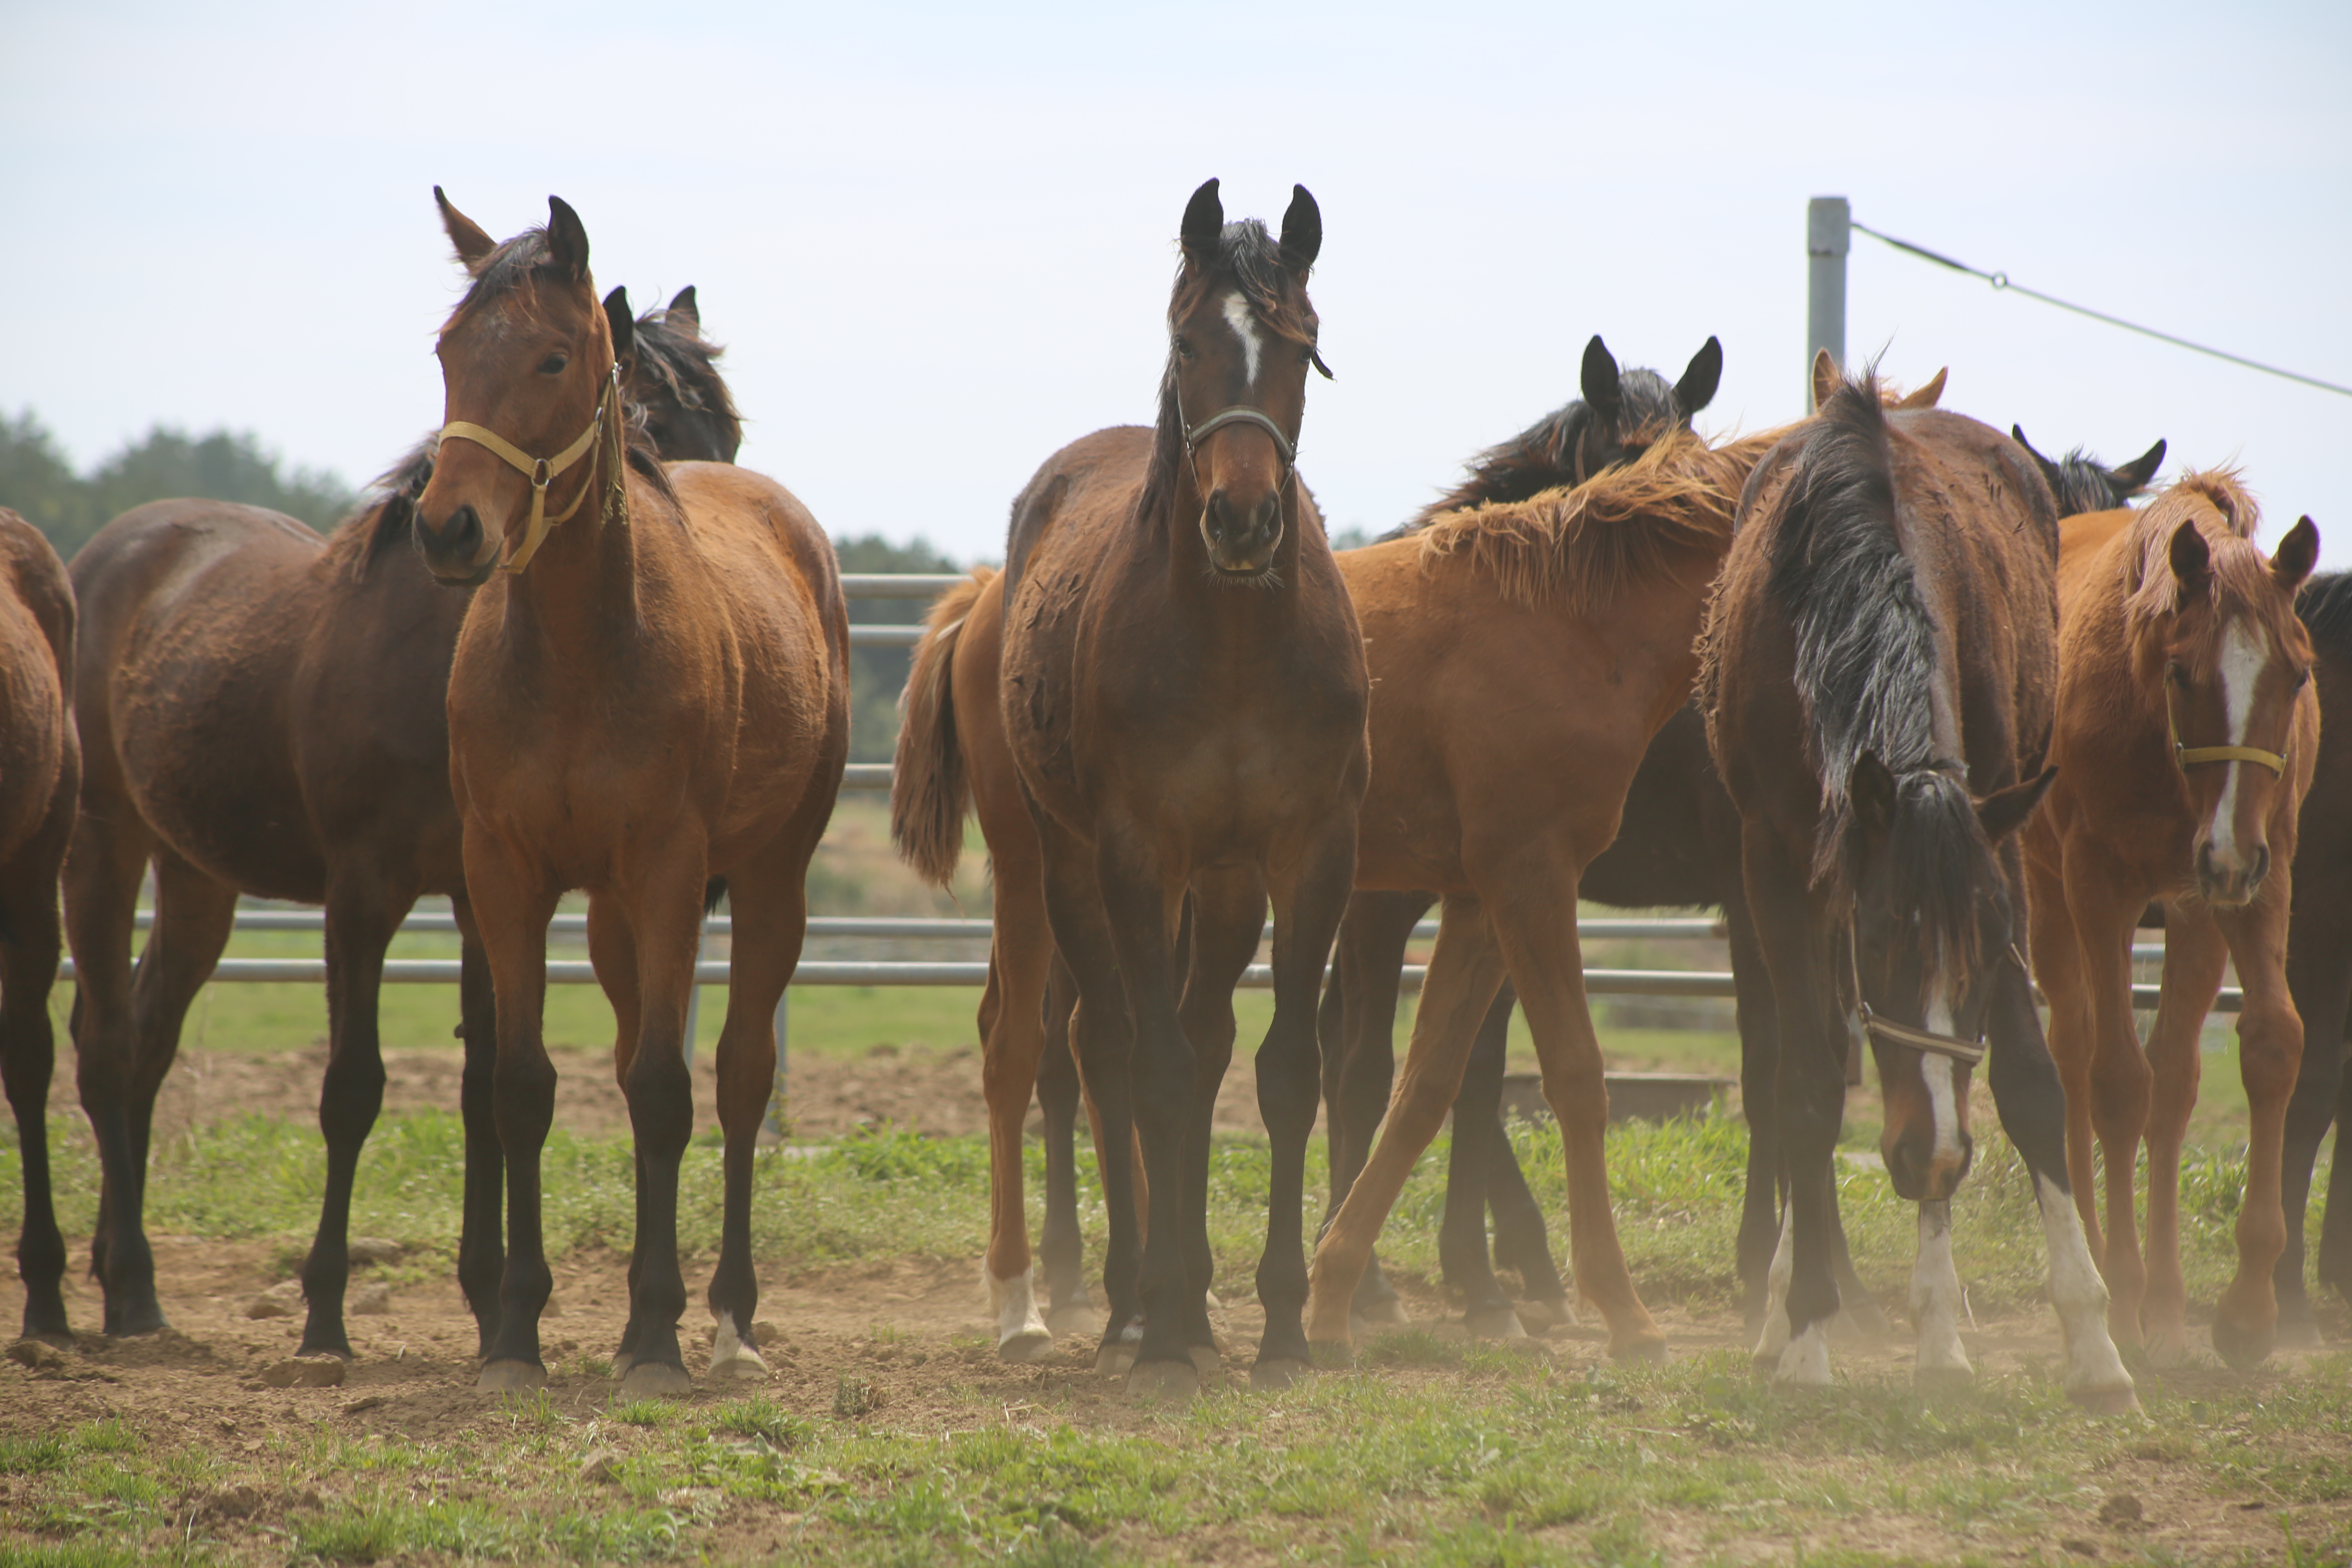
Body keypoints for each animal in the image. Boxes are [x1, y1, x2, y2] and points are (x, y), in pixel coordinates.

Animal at [412, 196, 846, 1401]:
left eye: (554, 357)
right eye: (449, 354)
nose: (447, 528)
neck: (576, 649)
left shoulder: (665, 873)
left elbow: (663, 1088)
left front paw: (655, 1334)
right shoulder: (504, 875)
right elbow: (522, 1085)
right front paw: (516, 1332)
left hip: (770, 884)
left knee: (738, 1078)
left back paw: (730, 1318)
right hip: (608, 915)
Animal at [889, 181, 1373, 1401]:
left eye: (1300, 344)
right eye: (1188, 342)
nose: (1242, 519)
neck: (1237, 642)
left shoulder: (1306, 853)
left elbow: (1276, 1070)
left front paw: (1279, 1320)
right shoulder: (1133, 852)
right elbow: (1147, 1066)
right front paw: (1158, 1321)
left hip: (1218, 885)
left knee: (1186, 1048)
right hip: (1051, 863)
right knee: (1080, 1045)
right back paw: (1113, 1302)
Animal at [1703, 371, 2145, 1410]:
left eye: (1985, 949)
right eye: (1882, 942)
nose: (1933, 1157)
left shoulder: (1997, 834)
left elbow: (2025, 1075)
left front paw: (2089, 1338)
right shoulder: (1778, 866)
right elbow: (1806, 1083)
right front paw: (1805, 1327)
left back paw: (1939, 1334)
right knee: (1815, 1058)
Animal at [2032, 470, 2323, 1363]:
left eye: (2297, 676)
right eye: (2182, 672)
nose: (2227, 847)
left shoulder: (2259, 876)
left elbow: (2270, 1046)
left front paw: (2249, 1308)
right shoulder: (2099, 884)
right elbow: (2116, 1083)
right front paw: (2120, 1295)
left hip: (2200, 907)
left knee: (2174, 1078)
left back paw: (2166, 1302)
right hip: (2053, 895)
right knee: (2075, 1055)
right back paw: (2105, 1277)